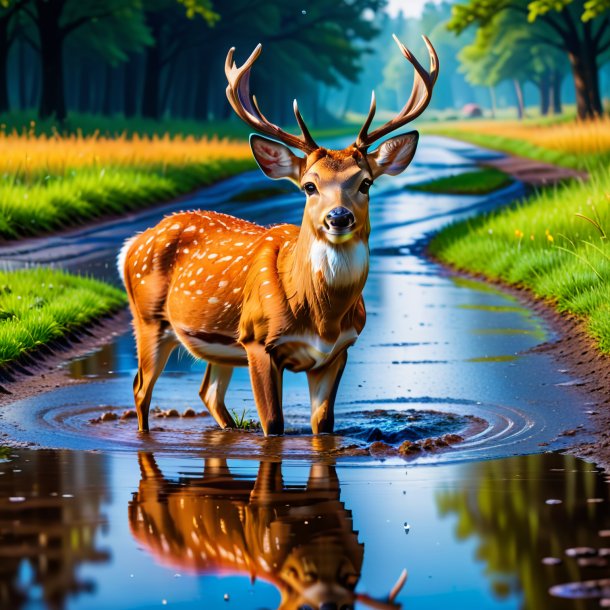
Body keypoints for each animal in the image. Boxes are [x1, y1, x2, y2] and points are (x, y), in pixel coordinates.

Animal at [116, 35, 434, 434]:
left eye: (365, 183)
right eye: (309, 186)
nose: (338, 217)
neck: (322, 319)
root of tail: (132, 244)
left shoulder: (338, 351)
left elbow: (323, 425)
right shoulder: (257, 339)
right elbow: (273, 425)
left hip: (219, 344)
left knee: (208, 392)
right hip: (148, 318)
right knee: (141, 389)